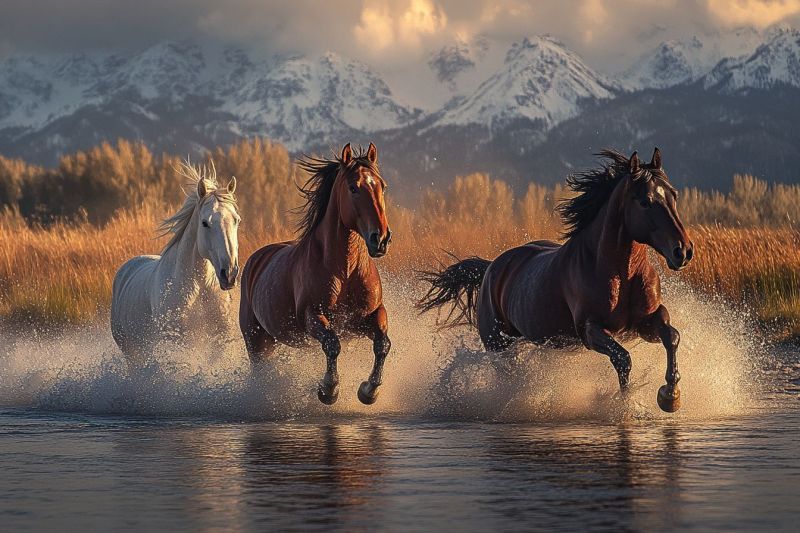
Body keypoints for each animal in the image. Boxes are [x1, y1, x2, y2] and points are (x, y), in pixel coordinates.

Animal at [111, 160, 241, 364]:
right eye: (205, 222)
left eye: (236, 220)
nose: (229, 274)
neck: (199, 286)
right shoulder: (180, 343)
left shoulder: (219, 341)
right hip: (132, 353)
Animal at [241, 143, 394, 406]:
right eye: (353, 187)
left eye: (381, 186)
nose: (381, 239)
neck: (345, 272)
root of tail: (256, 259)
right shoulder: (313, 316)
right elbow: (332, 344)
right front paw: (328, 390)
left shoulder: (371, 314)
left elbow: (382, 344)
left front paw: (368, 391)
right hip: (257, 342)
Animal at [418, 149, 692, 412]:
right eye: (645, 201)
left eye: (674, 195)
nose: (683, 251)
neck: (620, 274)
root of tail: (491, 267)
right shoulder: (590, 330)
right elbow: (622, 359)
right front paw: (628, 405)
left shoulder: (645, 323)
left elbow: (672, 337)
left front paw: (671, 396)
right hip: (498, 344)